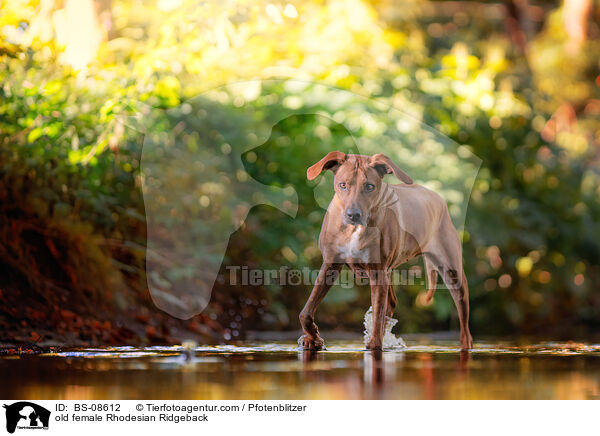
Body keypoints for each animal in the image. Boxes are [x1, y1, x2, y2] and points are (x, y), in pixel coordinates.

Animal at [300, 152, 474, 350]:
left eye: (369, 186)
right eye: (342, 185)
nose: (353, 215)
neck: (354, 229)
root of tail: (438, 197)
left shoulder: (377, 273)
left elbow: (377, 316)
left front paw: (374, 344)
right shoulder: (331, 264)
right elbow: (305, 311)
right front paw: (312, 337)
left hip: (452, 273)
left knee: (464, 325)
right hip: (389, 272)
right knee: (391, 302)